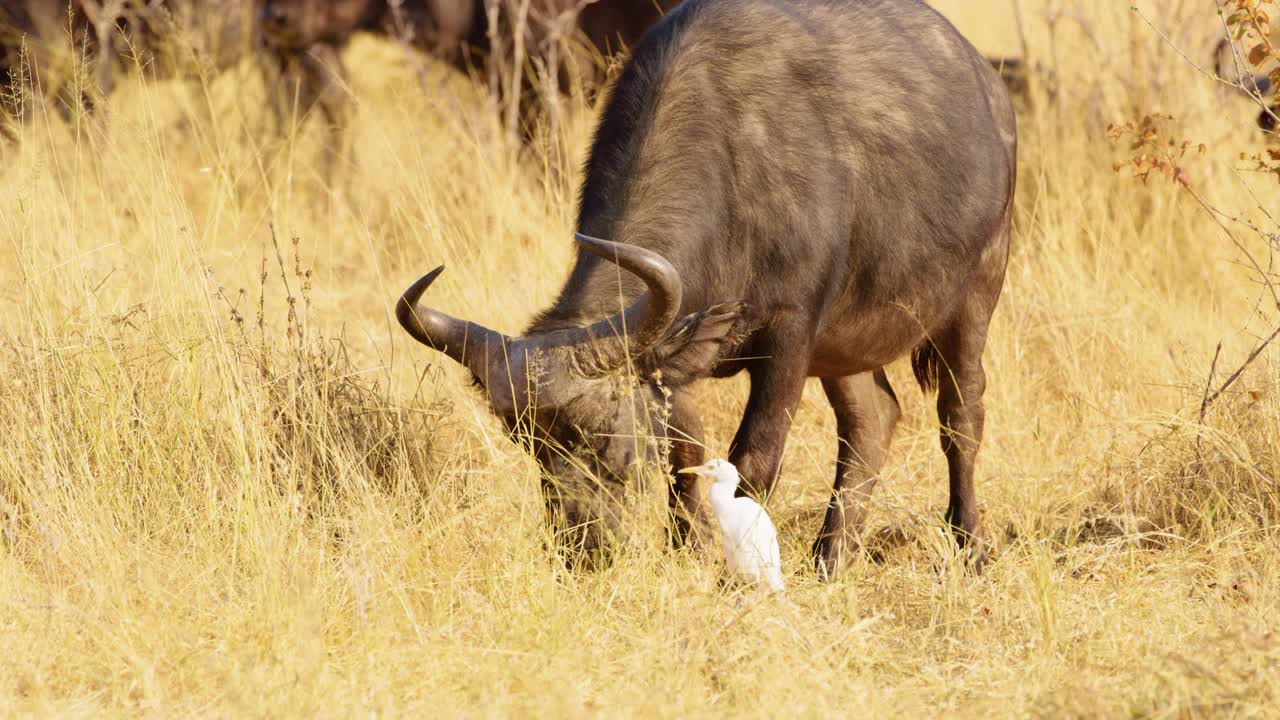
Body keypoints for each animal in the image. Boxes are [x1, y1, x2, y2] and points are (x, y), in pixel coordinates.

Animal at [394, 0, 1013, 573]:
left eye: (607, 439)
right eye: (528, 444)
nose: (581, 548)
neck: (734, 165)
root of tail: (988, 84)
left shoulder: (789, 335)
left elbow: (753, 463)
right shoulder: (673, 363)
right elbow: (685, 460)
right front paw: (686, 550)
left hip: (977, 292)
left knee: (961, 416)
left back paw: (970, 546)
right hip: (846, 344)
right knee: (872, 419)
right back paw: (831, 558)